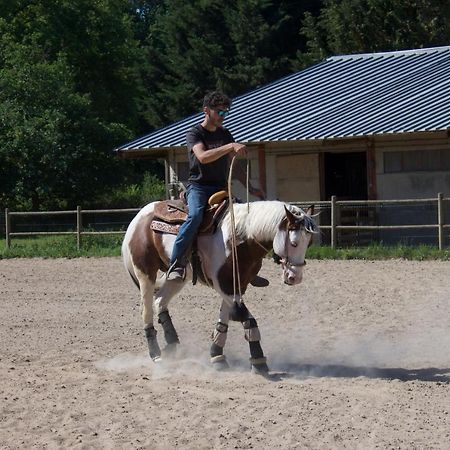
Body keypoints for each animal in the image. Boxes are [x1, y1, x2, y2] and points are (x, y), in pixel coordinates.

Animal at [121, 199, 314, 374]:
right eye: (294, 243)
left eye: (309, 243)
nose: (295, 277)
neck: (239, 238)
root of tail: (139, 217)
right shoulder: (224, 286)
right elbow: (246, 318)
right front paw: (258, 361)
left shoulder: (237, 285)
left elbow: (224, 320)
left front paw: (217, 356)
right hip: (145, 273)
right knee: (146, 311)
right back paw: (155, 354)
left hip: (177, 278)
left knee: (160, 302)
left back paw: (173, 345)